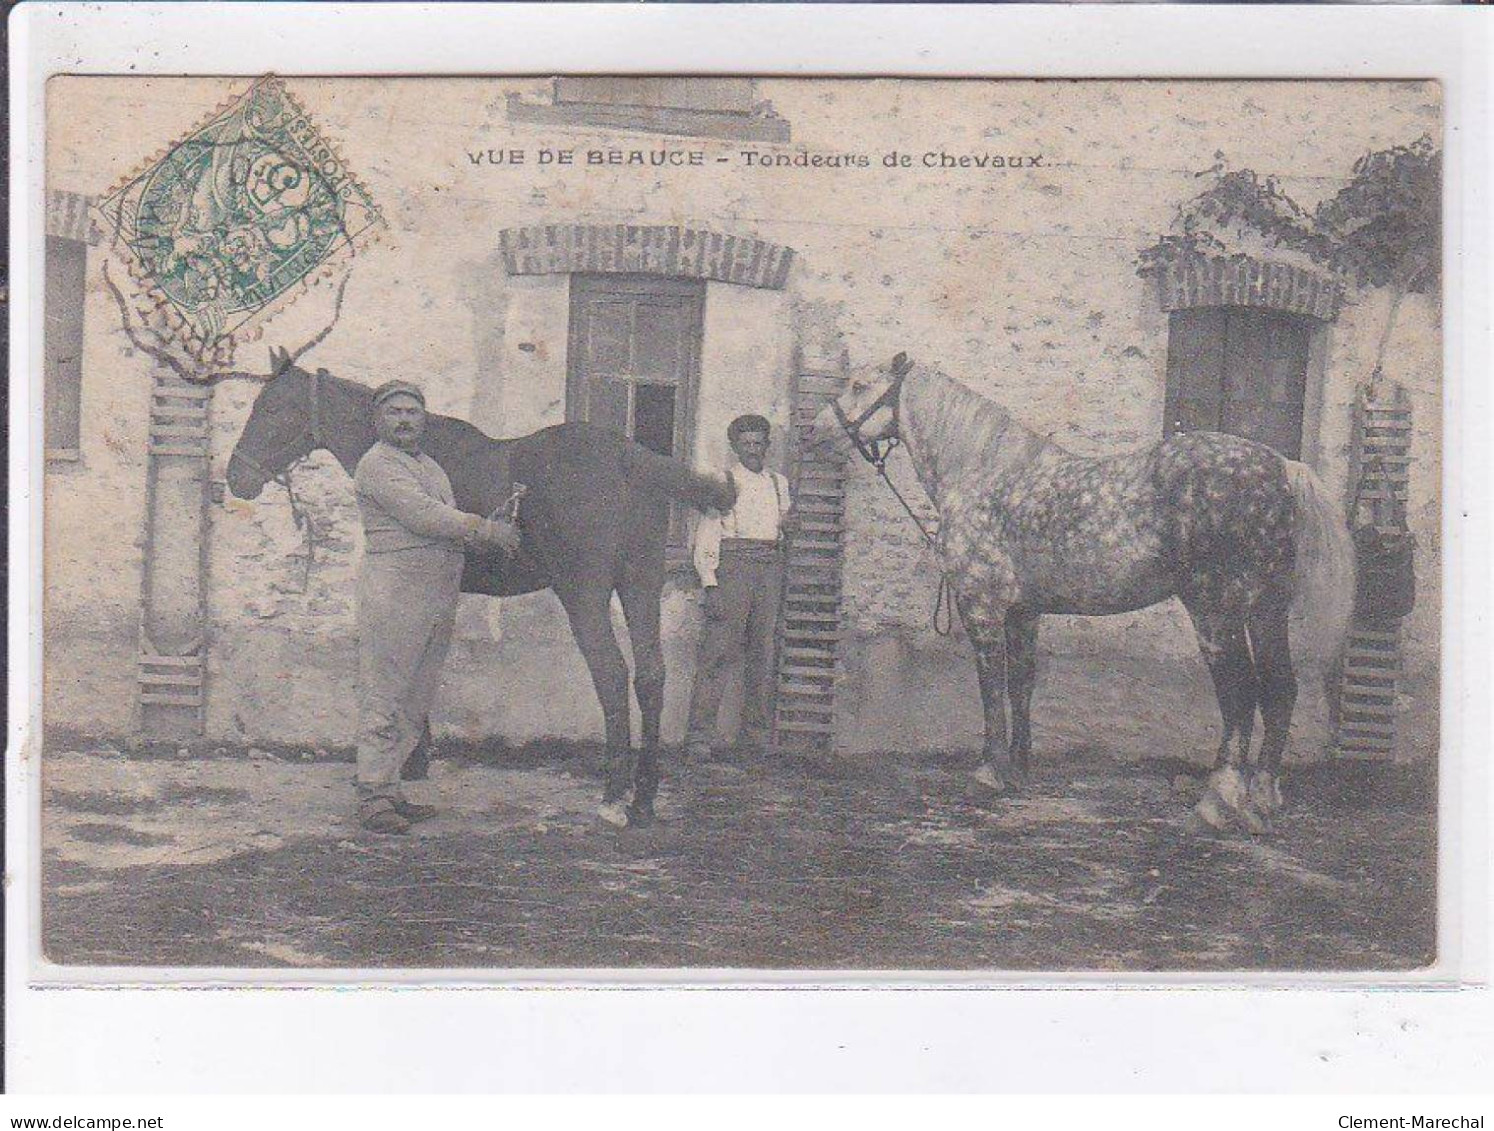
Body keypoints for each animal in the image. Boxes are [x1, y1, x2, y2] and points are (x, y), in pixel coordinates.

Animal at [224, 348, 732, 824]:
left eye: (271, 407)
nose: (235, 478)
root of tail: (629, 456)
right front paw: (414, 758)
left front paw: (408, 760)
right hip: (641, 584)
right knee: (651, 676)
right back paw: (643, 798)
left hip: (584, 594)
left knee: (610, 674)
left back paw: (613, 794)